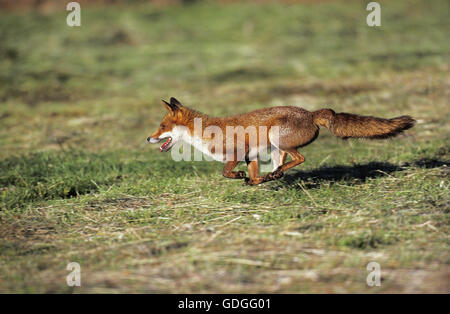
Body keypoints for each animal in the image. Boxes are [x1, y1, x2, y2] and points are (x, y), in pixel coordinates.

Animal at [147, 98, 414, 185]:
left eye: (162, 127)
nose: (148, 137)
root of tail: (311, 113)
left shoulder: (239, 152)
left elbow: (226, 172)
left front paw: (240, 176)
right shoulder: (251, 155)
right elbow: (253, 177)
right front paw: (253, 180)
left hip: (278, 139)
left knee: (300, 158)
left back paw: (276, 174)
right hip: (275, 148)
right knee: (284, 164)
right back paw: (274, 175)